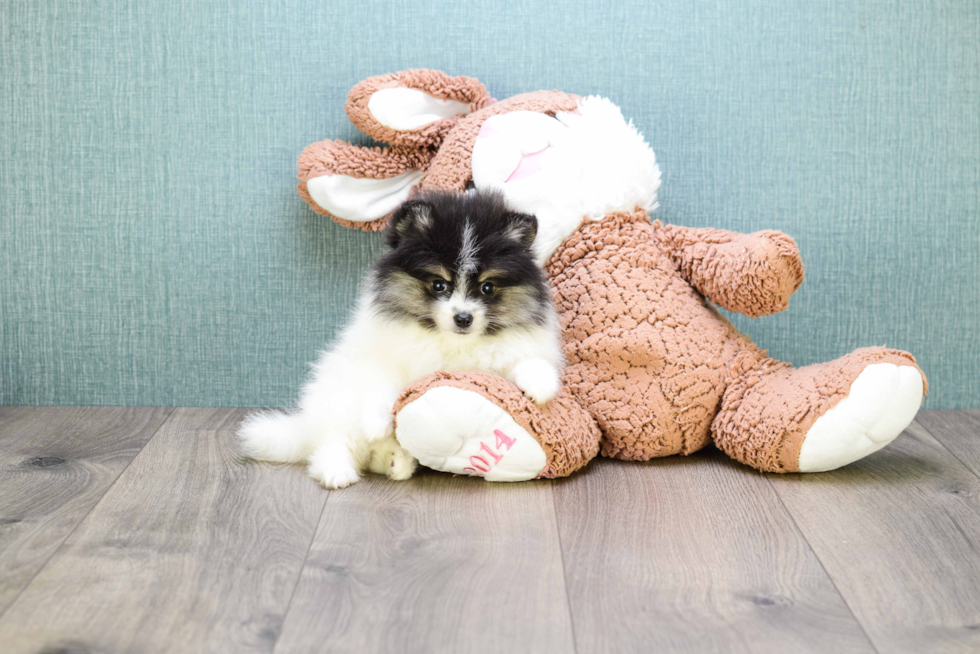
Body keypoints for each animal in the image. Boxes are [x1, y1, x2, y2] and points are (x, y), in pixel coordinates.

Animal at [238, 190, 564, 486]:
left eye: (487, 288)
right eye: (438, 284)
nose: (463, 318)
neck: (453, 343)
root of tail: (306, 424)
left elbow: (527, 360)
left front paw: (541, 386)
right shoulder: (385, 357)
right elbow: (382, 387)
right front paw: (377, 422)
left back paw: (397, 462)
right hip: (341, 405)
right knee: (331, 444)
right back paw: (338, 472)